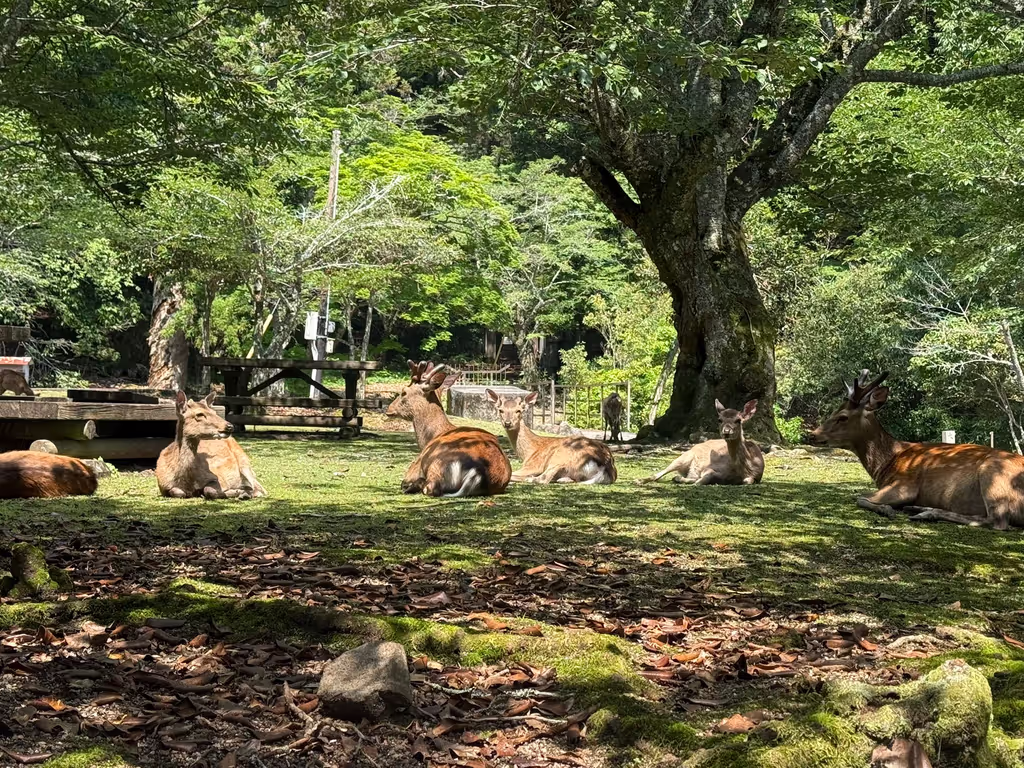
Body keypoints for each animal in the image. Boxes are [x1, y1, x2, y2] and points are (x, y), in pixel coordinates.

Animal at [386, 361, 511, 497]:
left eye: (404, 392)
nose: (389, 409)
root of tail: (478, 472)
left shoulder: (415, 467)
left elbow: (404, 481)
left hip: (436, 463)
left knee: (430, 488)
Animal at [486, 390, 617, 484]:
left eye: (519, 410)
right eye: (500, 410)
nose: (508, 423)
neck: (528, 453)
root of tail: (606, 464)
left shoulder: (534, 465)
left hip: (560, 456)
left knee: (543, 479)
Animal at [810, 370, 1024, 530]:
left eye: (843, 417)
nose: (812, 435)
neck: (887, 463)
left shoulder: (905, 484)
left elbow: (859, 497)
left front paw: (887, 509)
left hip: (994, 476)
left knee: (997, 521)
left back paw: (926, 513)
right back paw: (917, 508)